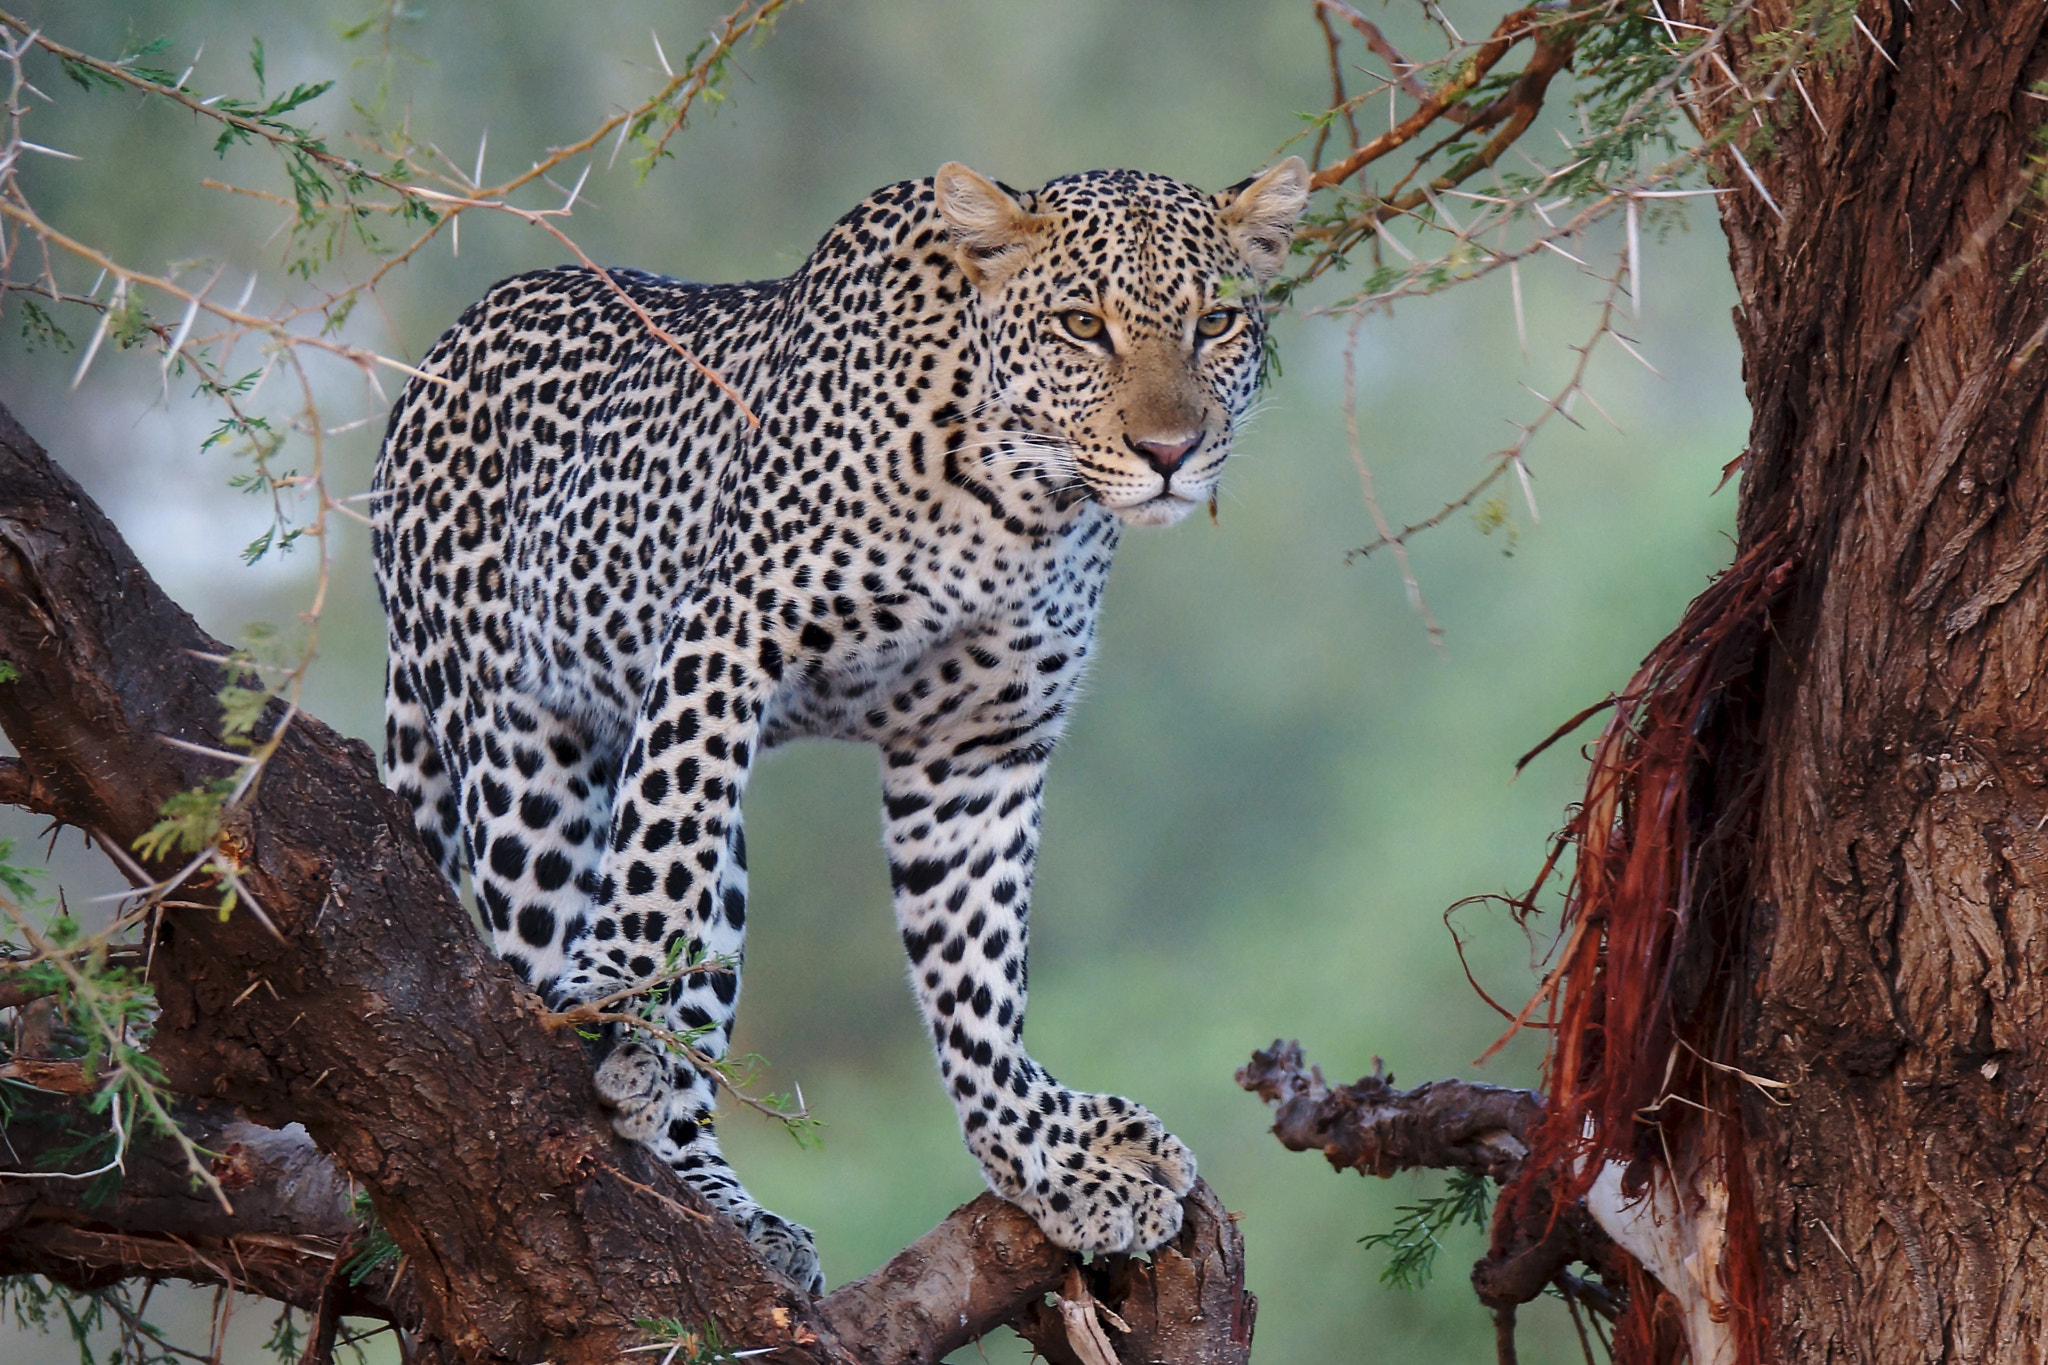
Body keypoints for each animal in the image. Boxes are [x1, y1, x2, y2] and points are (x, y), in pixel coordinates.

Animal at [374, 157, 1310, 1293]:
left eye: (1215, 321)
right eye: (1081, 326)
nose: (1169, 450)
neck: (1021, 504)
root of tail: (434, 359)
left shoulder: (976, 748)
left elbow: (977, 975)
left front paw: (1046, 1158)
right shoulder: (728, 628)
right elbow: (658, 857)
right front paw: (619, 998)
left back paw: (732, 1207)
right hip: (523, 746)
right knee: (560, 926)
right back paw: (627, 1065)